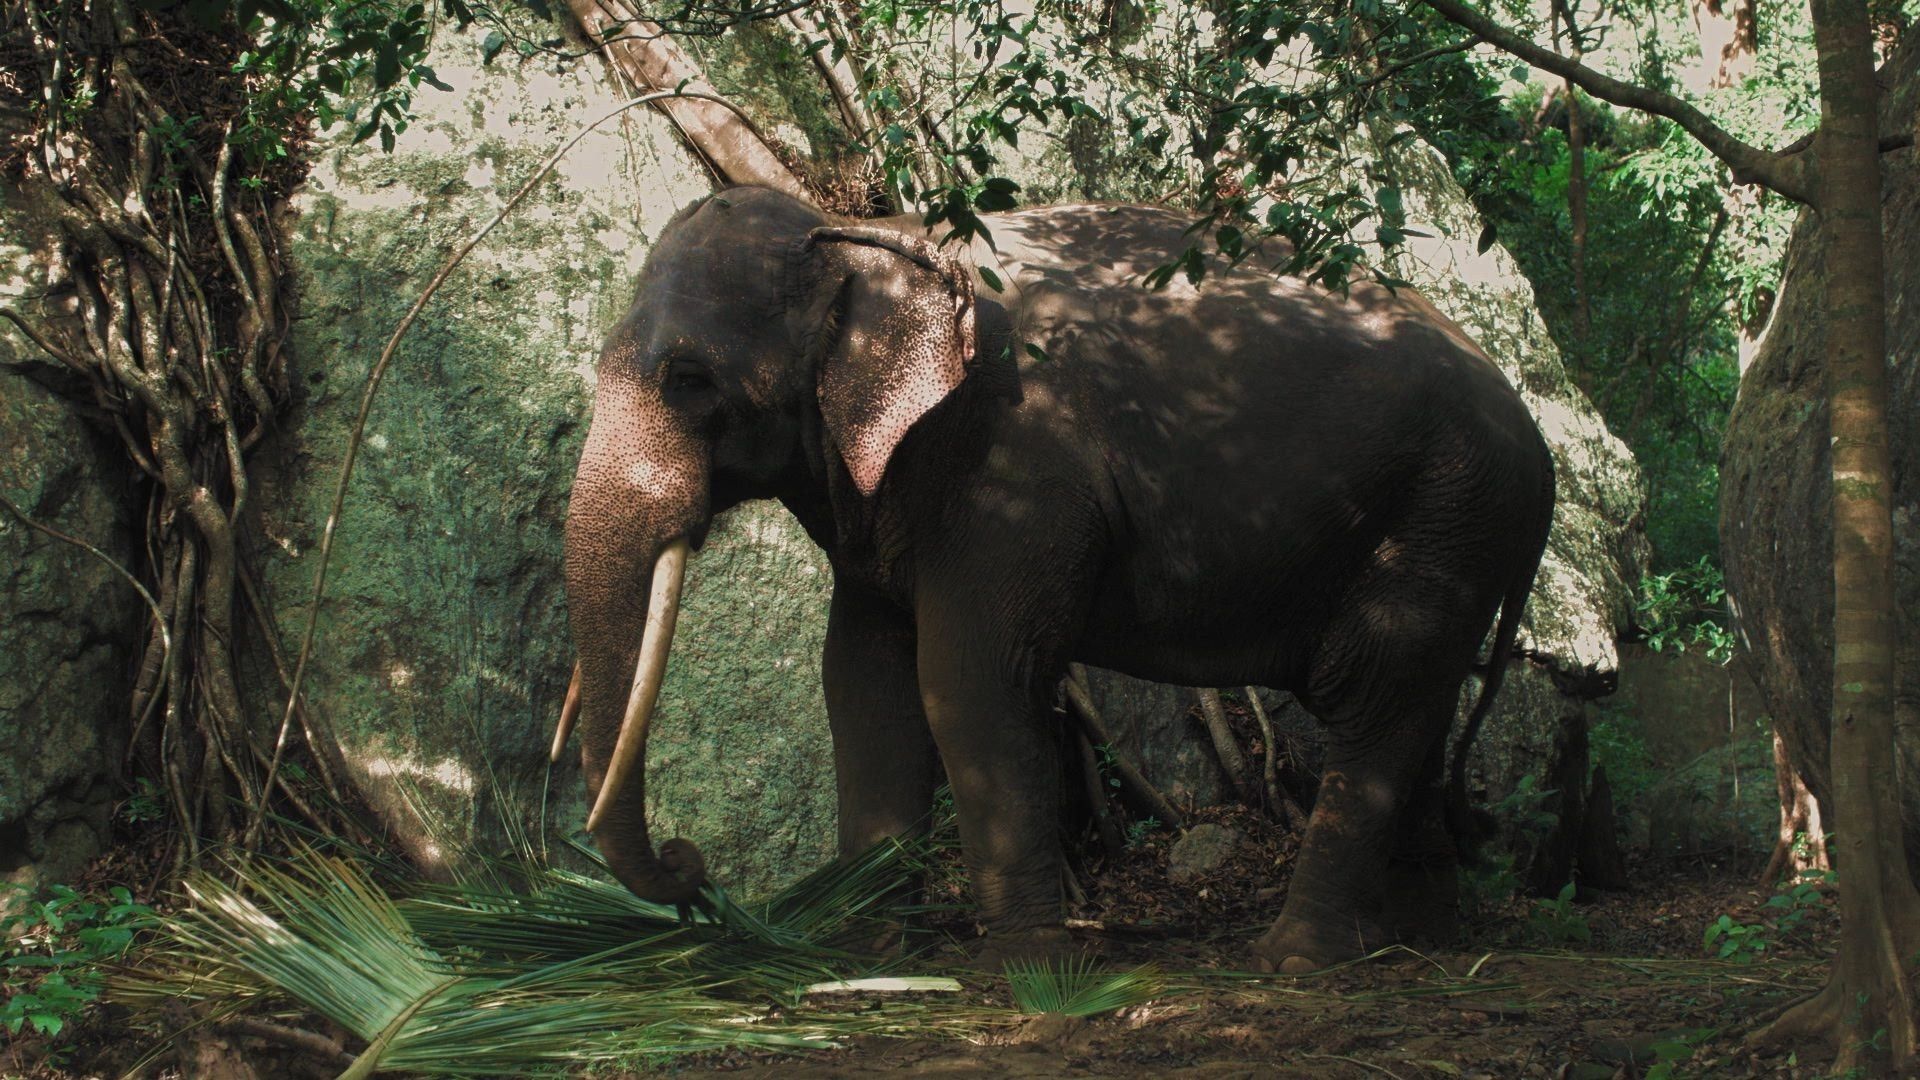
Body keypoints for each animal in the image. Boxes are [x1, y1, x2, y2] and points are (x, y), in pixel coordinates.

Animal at [560, 182, 1551, 968]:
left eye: (689, 379)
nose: (690, 868)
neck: (868, 232)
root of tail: (1541, 452)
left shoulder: (1012, 459)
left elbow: (967, 678)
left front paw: (1030, 969)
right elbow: (862, 678)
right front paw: (866, 954)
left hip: (1446, 511)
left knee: (1373, 698)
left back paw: (1299, 962)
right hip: (1456, 528)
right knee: (1417, 706)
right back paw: (1420, 941)